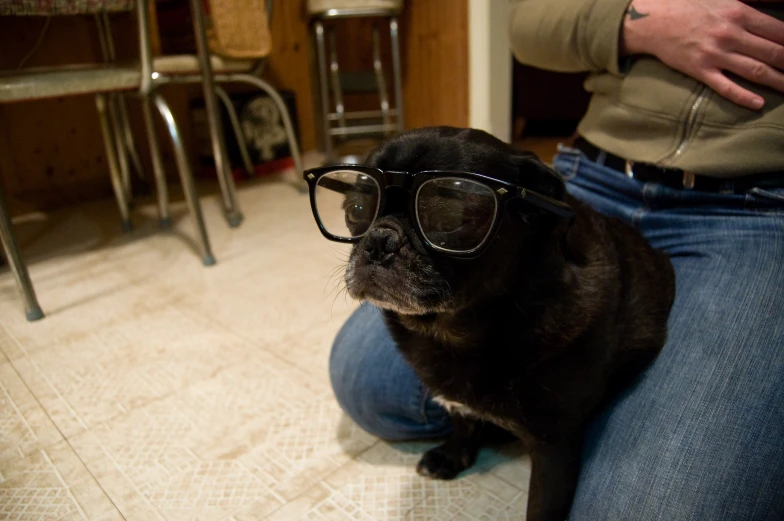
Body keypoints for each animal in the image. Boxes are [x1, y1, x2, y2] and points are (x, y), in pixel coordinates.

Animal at [304, 126, 672, 520]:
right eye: (356, 211)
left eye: (450, 220)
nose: (379, 241)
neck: (455, 330)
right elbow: (463, 422)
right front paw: (453, 455)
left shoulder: (555, 444)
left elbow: (541, 507)